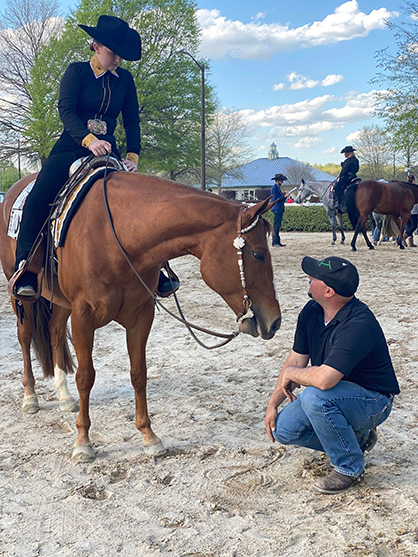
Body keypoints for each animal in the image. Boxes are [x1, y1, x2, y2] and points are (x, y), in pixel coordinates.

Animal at [0, 172, 282, 462]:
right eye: (258, 254)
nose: (275, 321)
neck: (115, 236)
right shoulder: (83, 316)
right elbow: (85, 376)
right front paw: (83, 441)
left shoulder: (141, 315)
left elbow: (139, 372)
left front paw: (148, 435)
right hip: (21, 295)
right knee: (25, 337)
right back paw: (30, 396)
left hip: (59, 301)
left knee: (55, 332)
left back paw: (64, 396)